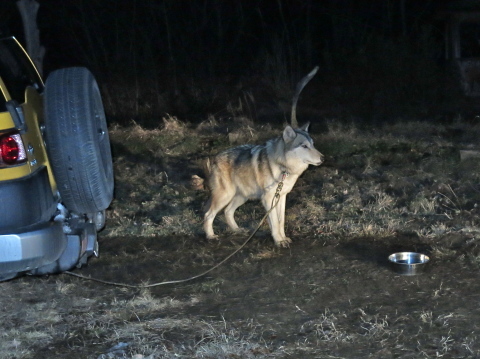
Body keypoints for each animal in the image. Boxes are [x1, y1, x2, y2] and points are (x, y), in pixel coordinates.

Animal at [202, 67, 322, 248]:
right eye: (304, 146)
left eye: (313, 144)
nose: (322, 158)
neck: (283, 167)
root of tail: (214, 159)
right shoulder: (268, 199)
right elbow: (275, 223)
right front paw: (279, 241)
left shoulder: (281, 197)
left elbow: (280, 221)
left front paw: (283, 238)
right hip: (226, 195)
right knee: (209, 214)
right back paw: (210, 236)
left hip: (242, 196)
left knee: (228, 212)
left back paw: (237, 230)